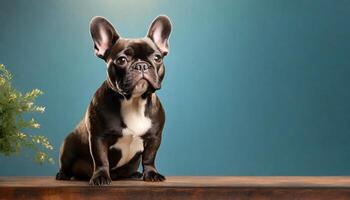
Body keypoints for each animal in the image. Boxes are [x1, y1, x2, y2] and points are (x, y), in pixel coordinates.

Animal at [55, 15, 172, 186]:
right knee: (66, 163)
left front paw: (151, 174)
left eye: (157, 58)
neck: (134, 101)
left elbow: (149, 157)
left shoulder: (154, 137)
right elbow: (101, 159)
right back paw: (63, 174)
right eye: (121, 60)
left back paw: (134, 174)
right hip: (68, 145)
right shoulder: (98, 137)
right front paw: (101, 177)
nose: (142, 65)